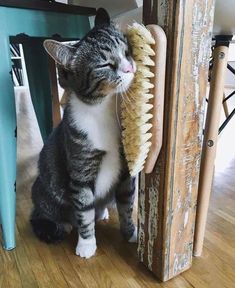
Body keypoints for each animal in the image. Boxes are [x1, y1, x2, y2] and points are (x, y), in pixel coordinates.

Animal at [31, 7, 138, 258]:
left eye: (127, 51)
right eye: (105, 65)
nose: (130, 68)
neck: (104, 108)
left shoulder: (126, 170)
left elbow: (126, 204)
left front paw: (131, 232)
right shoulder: (81, 170)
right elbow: (84, 209)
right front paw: (87, 244)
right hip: (44, 192)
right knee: (46, 215)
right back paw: (64, 224)